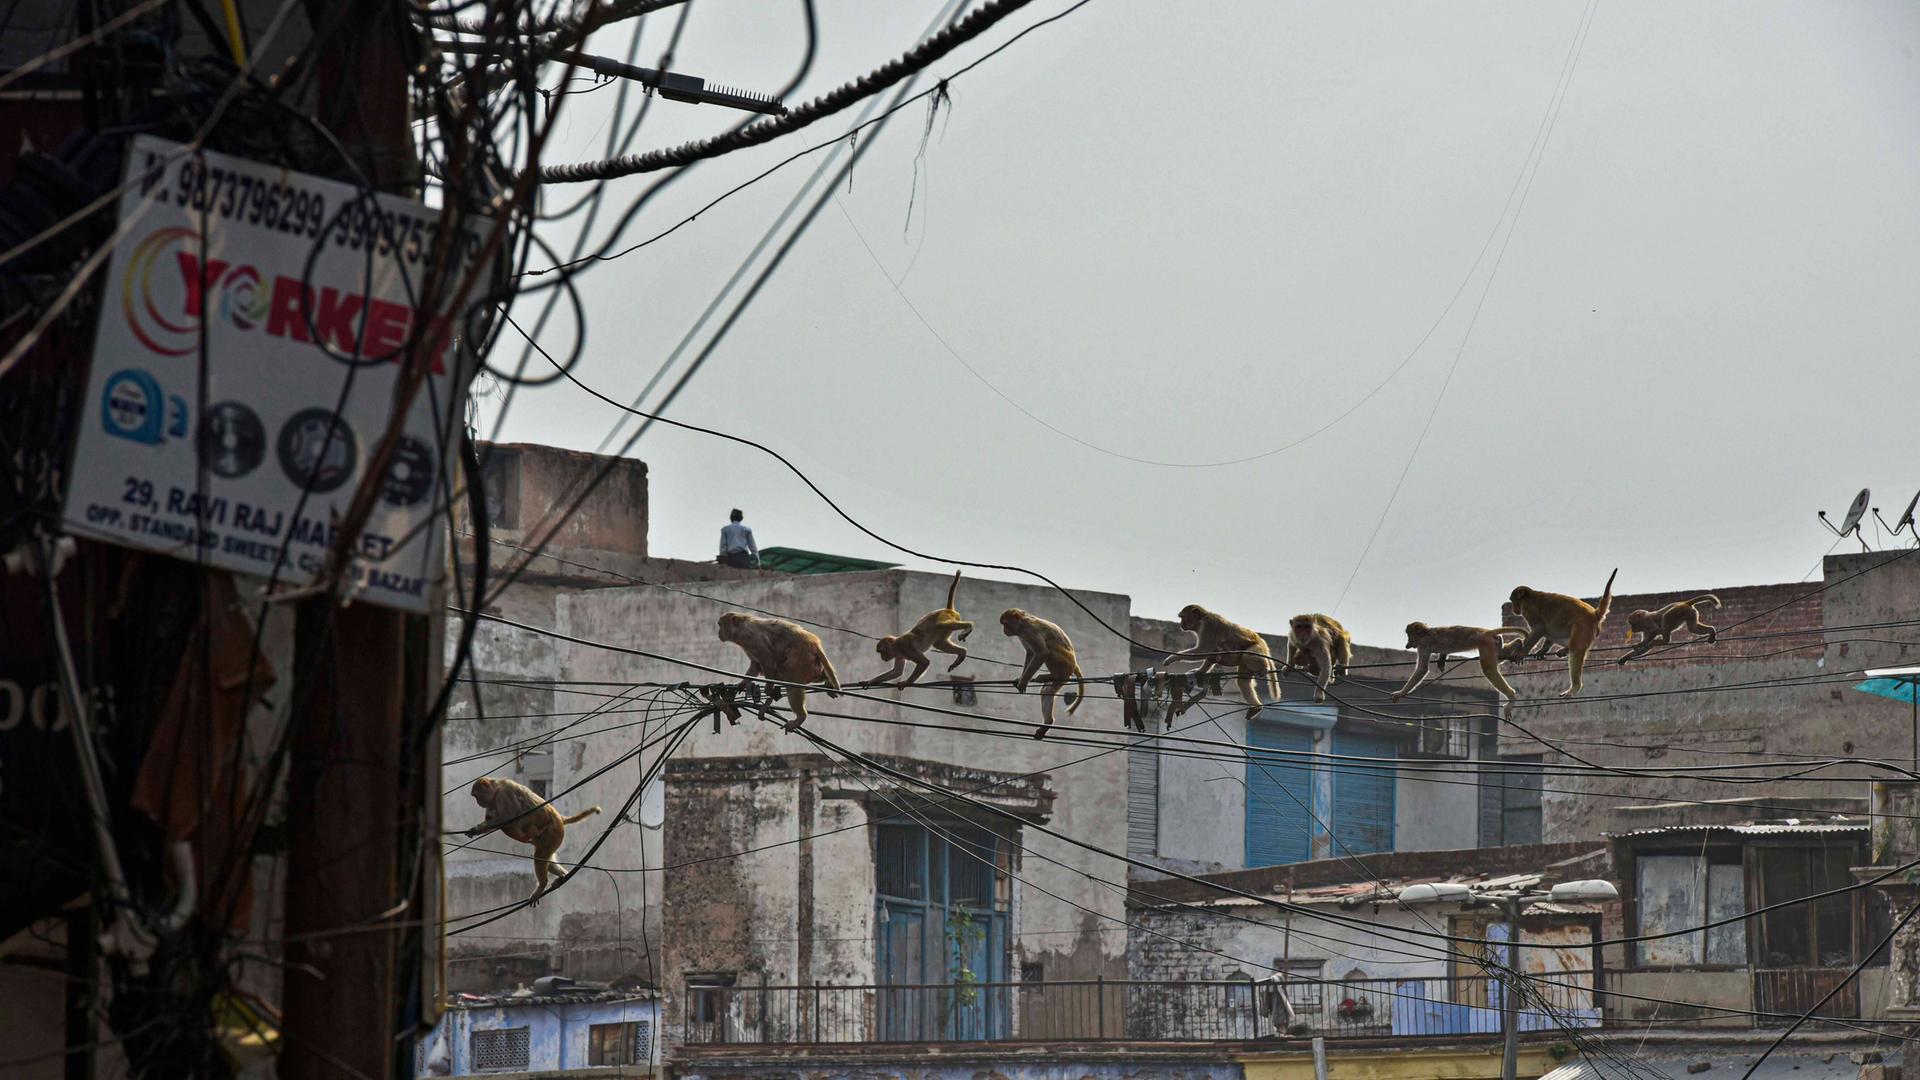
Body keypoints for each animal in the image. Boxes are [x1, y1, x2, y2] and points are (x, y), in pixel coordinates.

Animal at [464, 772, 599, 899]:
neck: (496, 787)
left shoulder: (503, 795)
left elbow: (510, 816)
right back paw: (562, 875)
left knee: (538, 853)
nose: (478, 802)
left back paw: (542, 884)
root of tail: (559, 818)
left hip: (553, 832)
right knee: (547, 859)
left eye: (476, 796)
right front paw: (475, 830)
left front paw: (479, 827)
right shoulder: (492, 801)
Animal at [1397, 622, 1528, 714]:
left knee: (1488, 669)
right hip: (1495, 643)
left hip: (1486, 643)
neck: (1426, 632)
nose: (1407, 644)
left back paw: (1511, 696)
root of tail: (1487, 632)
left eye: (1409, 634)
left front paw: (1400, 693)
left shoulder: (1423, 644)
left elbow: (1422, 669)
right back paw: (1517, 643)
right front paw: (1442, 659)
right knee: (1500, 656)